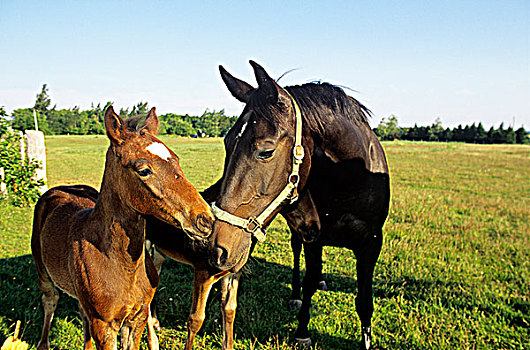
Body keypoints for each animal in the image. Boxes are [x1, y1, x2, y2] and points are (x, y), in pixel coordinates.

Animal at [30, 106, 212, 350]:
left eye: (176, 160)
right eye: (143, 170)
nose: (205, 220)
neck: (123, 266)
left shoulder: (137, 318)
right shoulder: (104, 325)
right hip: (43, 273)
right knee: (50, 301)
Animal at [204, 61, 390, 348]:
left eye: (266, 151)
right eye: (226, 142)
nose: (218, 247)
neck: (349, 181)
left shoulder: (371, 244)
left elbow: (364, 302)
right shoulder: (314, 237)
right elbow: (309, 280)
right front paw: (302, 330)